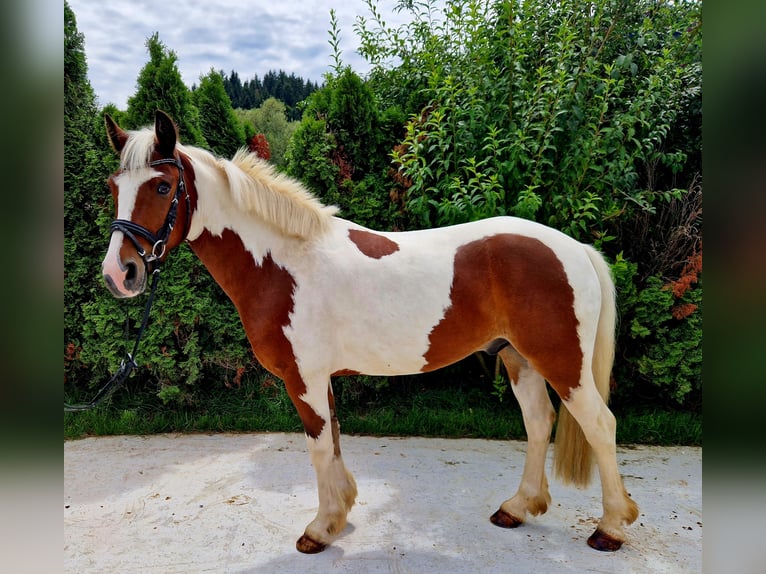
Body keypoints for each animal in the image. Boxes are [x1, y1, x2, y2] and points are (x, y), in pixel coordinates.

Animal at [102, 110, 640, 556]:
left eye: (162, 188)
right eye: (114, 186)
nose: (119, 273)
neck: (283, 265)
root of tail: (574, 248)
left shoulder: (304, 379)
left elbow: (319, 446)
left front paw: (320, 530)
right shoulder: (319, 379)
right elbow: (335, 440)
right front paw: (340, 514)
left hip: (562, 362)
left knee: (600, 425)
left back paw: (610, 528)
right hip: (518, 357)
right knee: (538, 423)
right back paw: (518, 507)